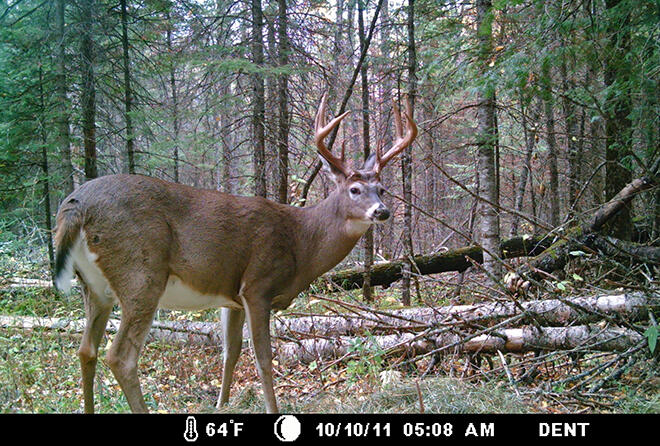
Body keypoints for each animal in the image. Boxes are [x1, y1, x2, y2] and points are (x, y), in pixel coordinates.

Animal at [53, 93, 417, 413]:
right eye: (354, 189)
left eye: (382, 189)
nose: (382, 211)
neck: (302, 241)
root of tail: (76, 207)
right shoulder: (258, 285)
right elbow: (263, 358)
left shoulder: (231, 296)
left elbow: (230, 352)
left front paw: (222, 404)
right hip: (140, 274)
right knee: (120, 356)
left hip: (95, 286)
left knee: (86, 350)